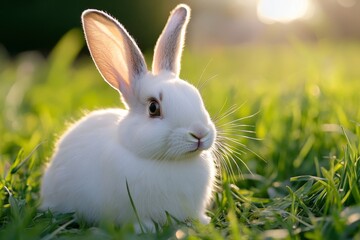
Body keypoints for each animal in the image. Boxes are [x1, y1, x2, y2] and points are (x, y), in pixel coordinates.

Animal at [41, 3, 218, 232]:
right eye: (153, 108)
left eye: (196, 95)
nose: (199, 133)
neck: (170, 161)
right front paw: (147, 229)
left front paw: (204, 222)